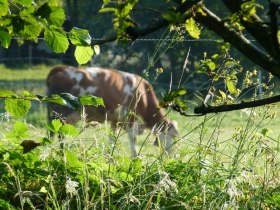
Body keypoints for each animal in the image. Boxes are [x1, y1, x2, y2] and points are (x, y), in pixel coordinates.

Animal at [45, 65, 177, 156]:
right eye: (173, 135)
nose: (172, 155)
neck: (143, 93)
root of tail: (61, 68)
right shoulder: (131, 119)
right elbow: (133, 145)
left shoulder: (116, 121)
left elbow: (112, 141)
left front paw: (110, 159)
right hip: (62, 113)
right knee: (59, 134)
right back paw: (61, 153)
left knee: (52, 132)